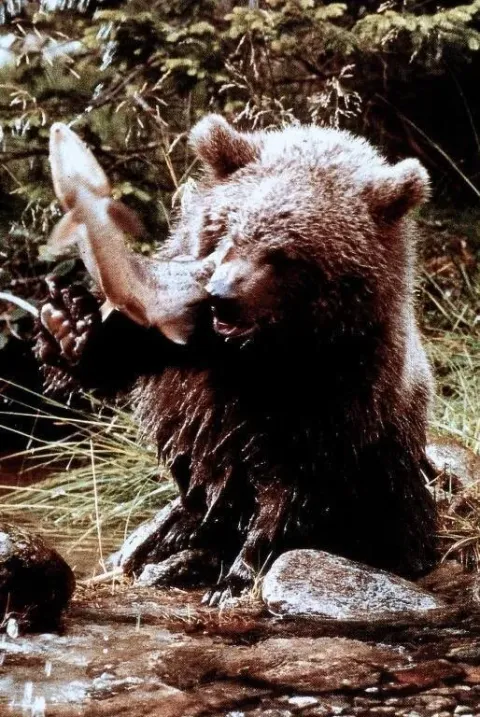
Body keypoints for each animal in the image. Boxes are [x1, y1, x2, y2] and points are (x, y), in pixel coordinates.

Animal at [35, 115, 438, 602]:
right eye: (229, 228)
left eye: (286, 254)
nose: (221, 296)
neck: (263, 352)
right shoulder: (191, 346)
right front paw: (68, 325)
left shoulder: (340, 391)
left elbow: (294, 487)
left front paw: (237, 574)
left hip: (394, 487)